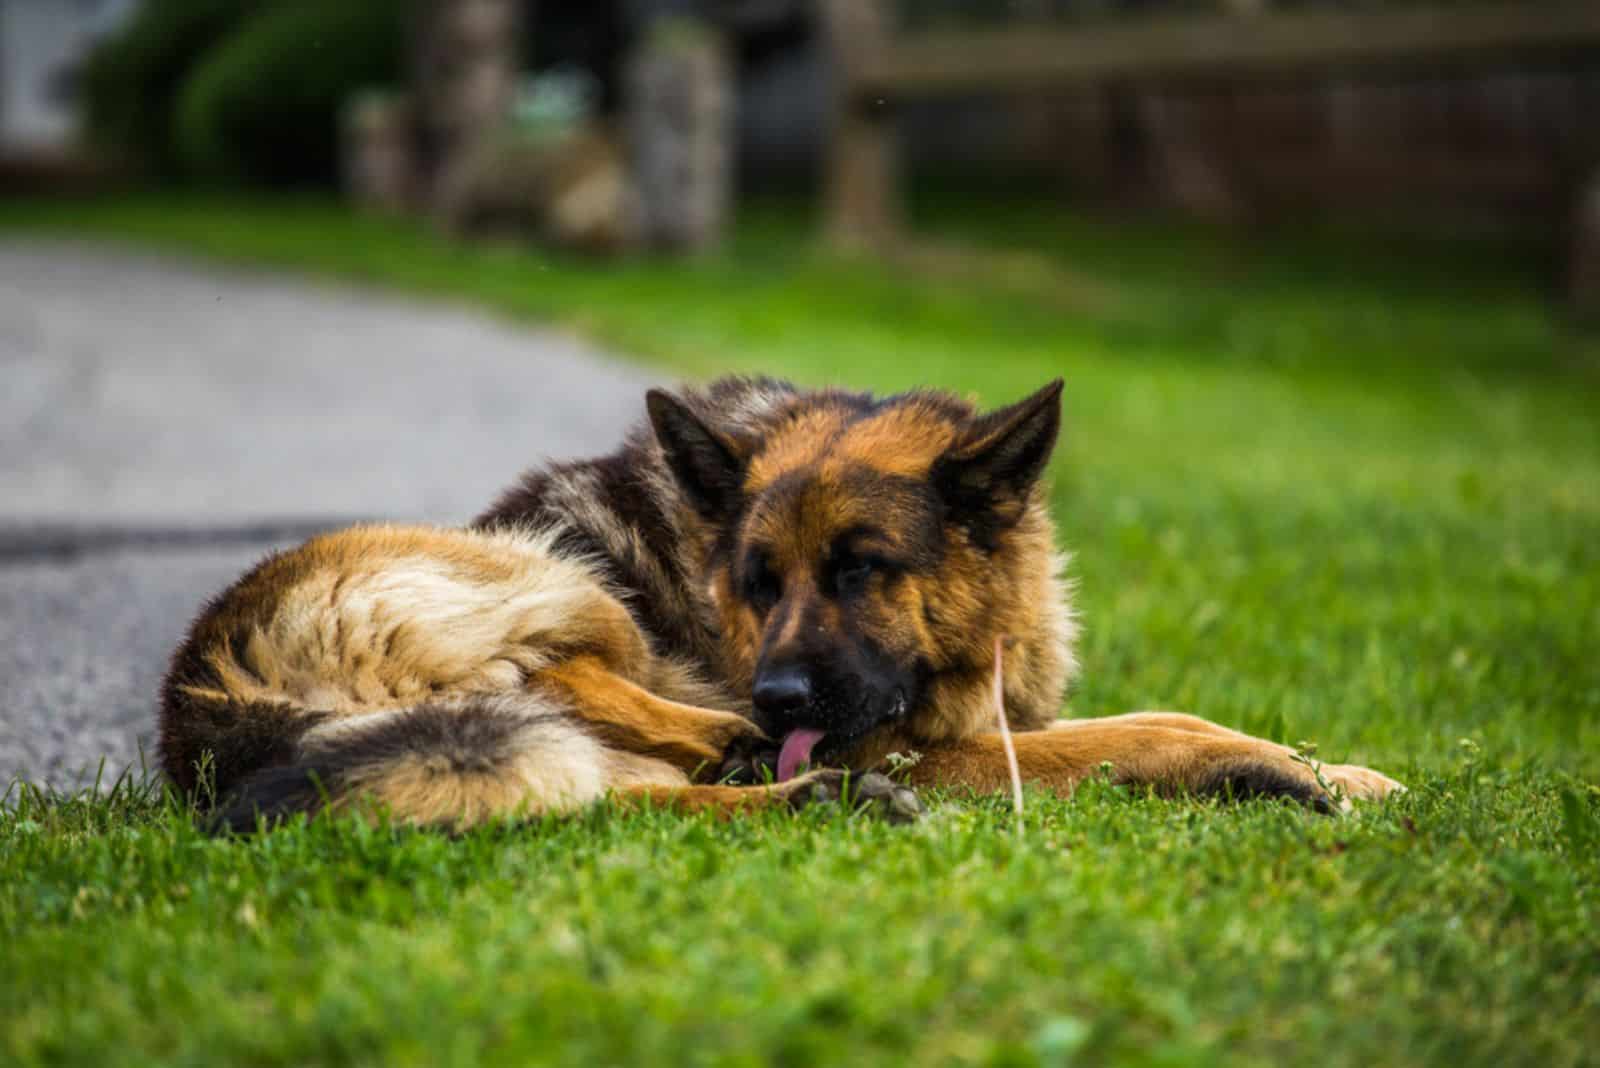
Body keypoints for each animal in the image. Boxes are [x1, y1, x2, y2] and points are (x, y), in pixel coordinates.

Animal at [156, 378, 1395, 831]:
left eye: (860, 569)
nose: (781, 693)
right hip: (545, 577)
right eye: (755, 580)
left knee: (629, 801)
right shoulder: (929, 741)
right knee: (572, 682)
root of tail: (205, 700)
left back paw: (802, 793)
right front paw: (1295, 770)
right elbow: (1147, 726)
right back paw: (751, 750)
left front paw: (1326, 769)